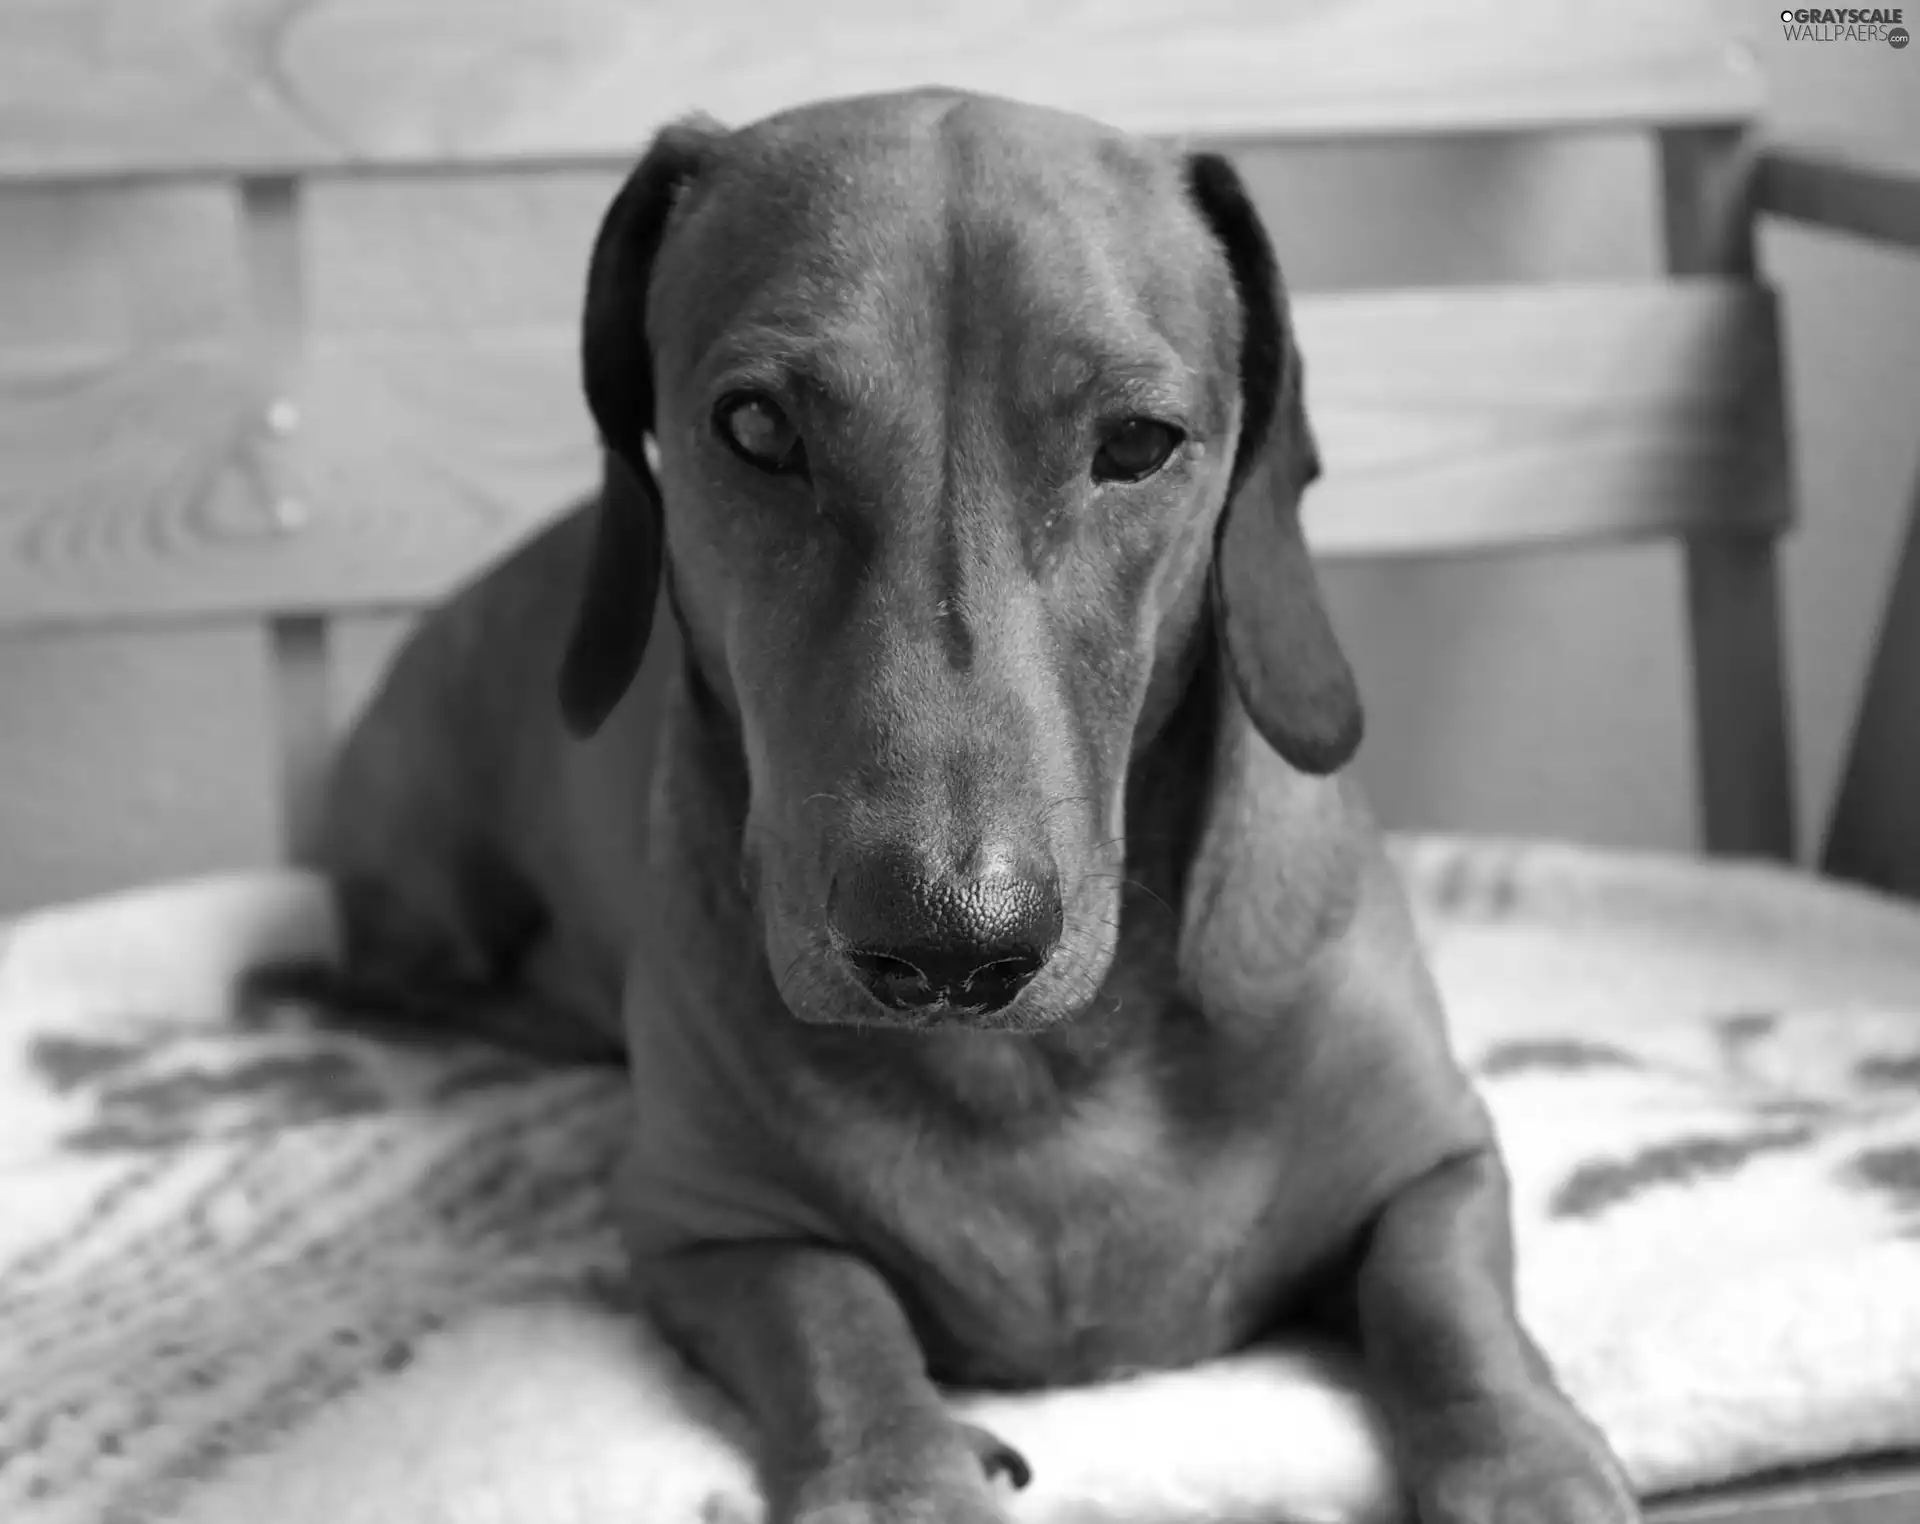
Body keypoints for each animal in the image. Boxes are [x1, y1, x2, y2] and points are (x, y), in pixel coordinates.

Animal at [284, 92, 1635, 1520]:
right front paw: (901, 1470)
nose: (947, 945)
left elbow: (1443, 1294)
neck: (1041, 1074)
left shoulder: (1439, 1158)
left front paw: (1525, 1461)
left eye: (1139, 443)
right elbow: (830, 1311)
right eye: (757, 427)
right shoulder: (701, 1228)